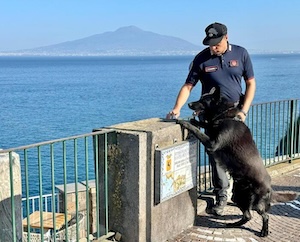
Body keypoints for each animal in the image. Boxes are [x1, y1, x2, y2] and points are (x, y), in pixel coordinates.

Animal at [177, 87, 296, 236]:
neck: (224, 115)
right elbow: (205, 124)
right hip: (238, 196)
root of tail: (270, 187)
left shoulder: (212, 143)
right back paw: (234, 224)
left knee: (265, 215)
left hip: (257, 203)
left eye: (203, 100)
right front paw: (194, 121)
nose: (189, 104)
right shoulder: (211, 129)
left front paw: (185, 122)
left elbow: (199, 131)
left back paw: (264, 231)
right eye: (200, 98)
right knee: (248, 215)